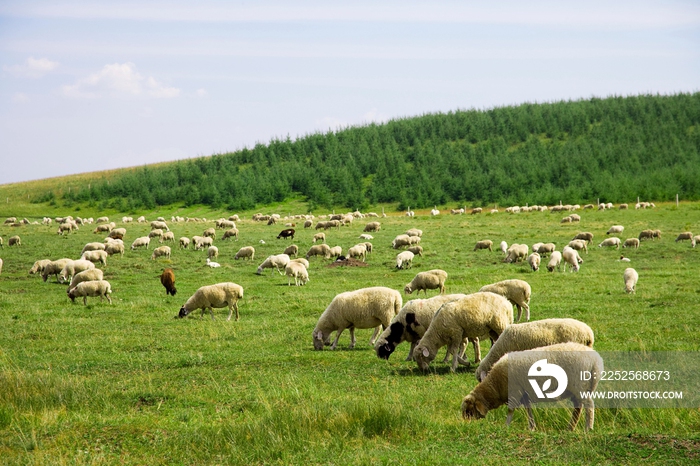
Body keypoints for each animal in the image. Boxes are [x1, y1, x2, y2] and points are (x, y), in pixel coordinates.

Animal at [462, 340, 604, 432]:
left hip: (579, 386)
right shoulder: (524, 394)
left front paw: (506, 426)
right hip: (579, 389)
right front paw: (532, 427)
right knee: (578, 408)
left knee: (589, 406)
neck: (496, 385)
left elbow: (510, 410)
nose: (465, 425)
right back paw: (571, 427)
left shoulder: (515, 391)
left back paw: (588, 428)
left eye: (469, 411)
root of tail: (596, 360)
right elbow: (528, 410)